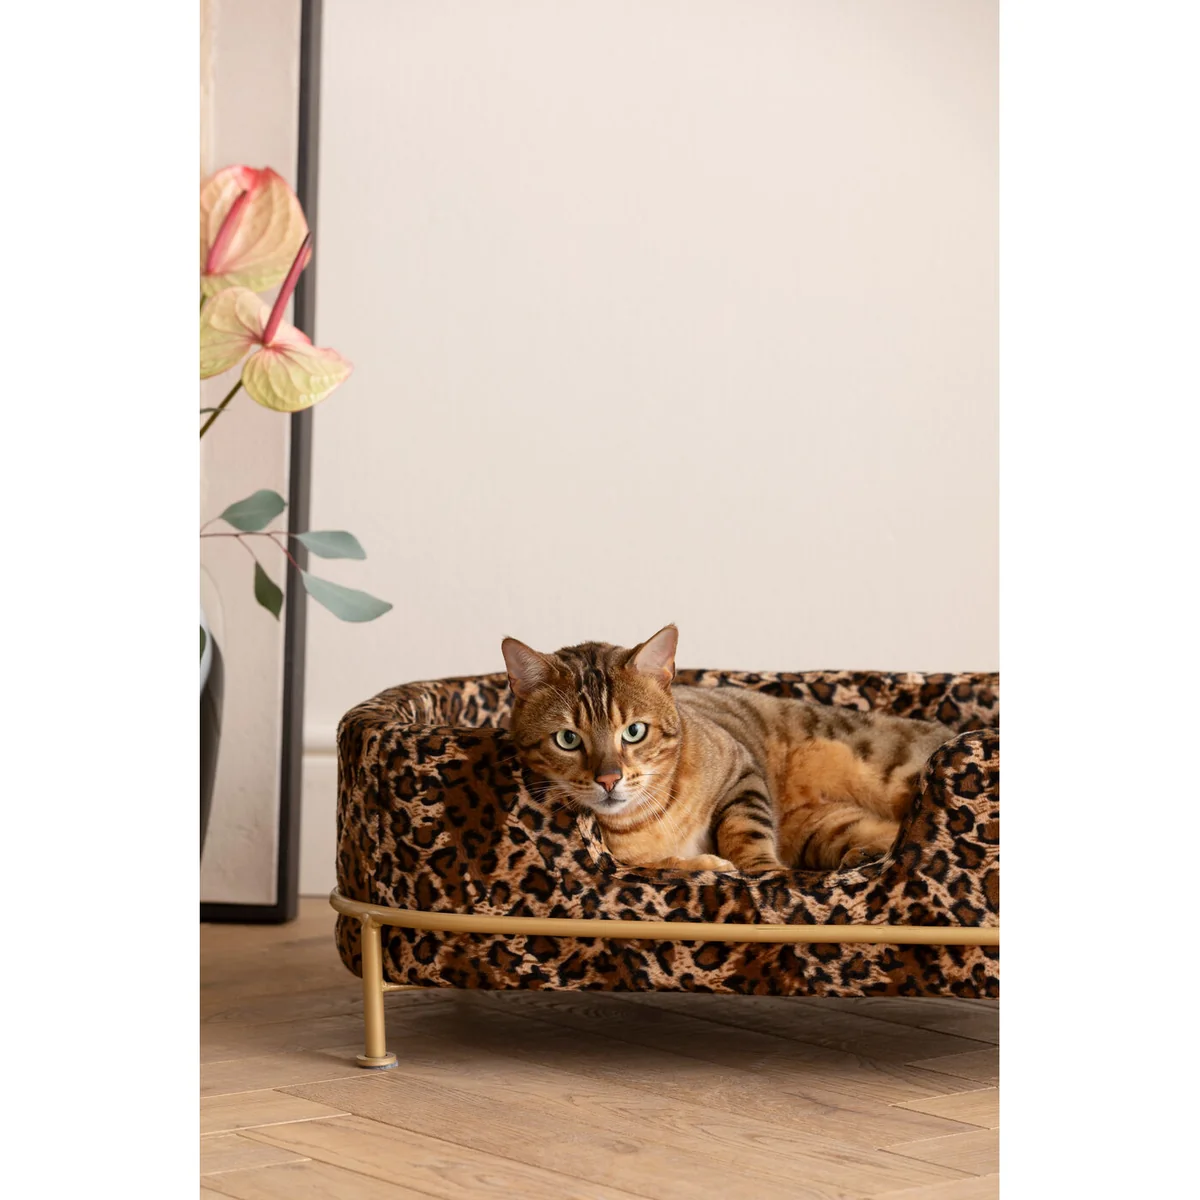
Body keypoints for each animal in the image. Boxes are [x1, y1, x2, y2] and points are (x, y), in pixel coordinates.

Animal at [501, 624, 955, 873]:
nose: (609, 779)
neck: (644, 821)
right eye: (567, 739)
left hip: (888, 770)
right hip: (826, 829)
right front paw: (700, 864)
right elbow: (662, 864)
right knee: (884, 838)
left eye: (634, 732)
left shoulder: (742, 772)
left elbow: (744, 831)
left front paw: (762, 871)